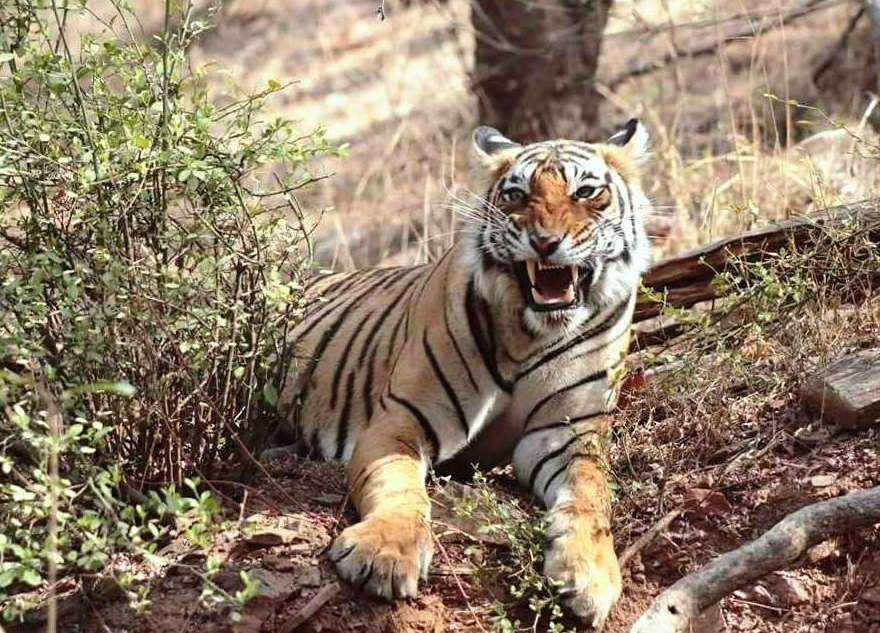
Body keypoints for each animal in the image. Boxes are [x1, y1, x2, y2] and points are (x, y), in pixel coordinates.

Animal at [275, 119, 652, 628]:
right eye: (516, 195)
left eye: (587, 192)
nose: (545, 242)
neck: (531, 334)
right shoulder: (400, 421)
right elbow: (398, 486)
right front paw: (384, 552)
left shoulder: (566, 433)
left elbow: (592, 495)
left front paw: (589, 575)